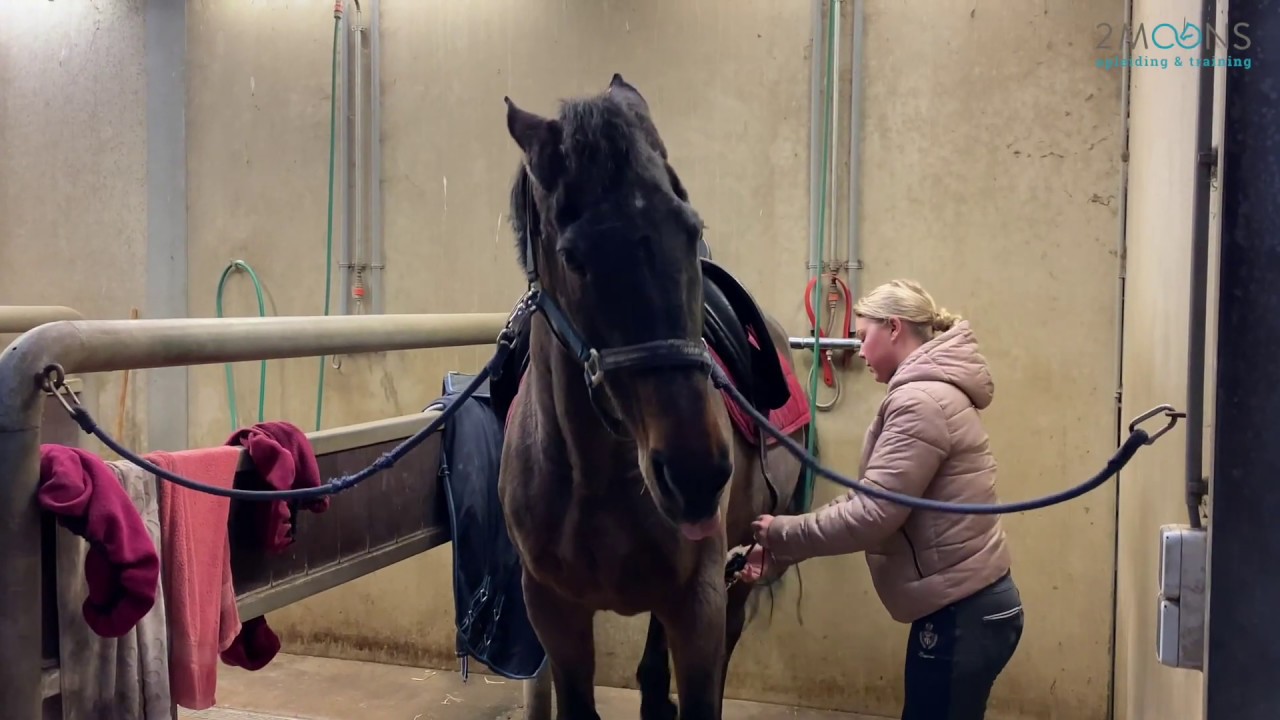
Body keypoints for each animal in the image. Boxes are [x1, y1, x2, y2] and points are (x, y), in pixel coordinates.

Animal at [494, 73, 812, 720]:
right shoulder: (554, 614)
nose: (696, 473)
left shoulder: (700, 604)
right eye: (572, 256)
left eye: (691, 230)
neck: (594, 479)